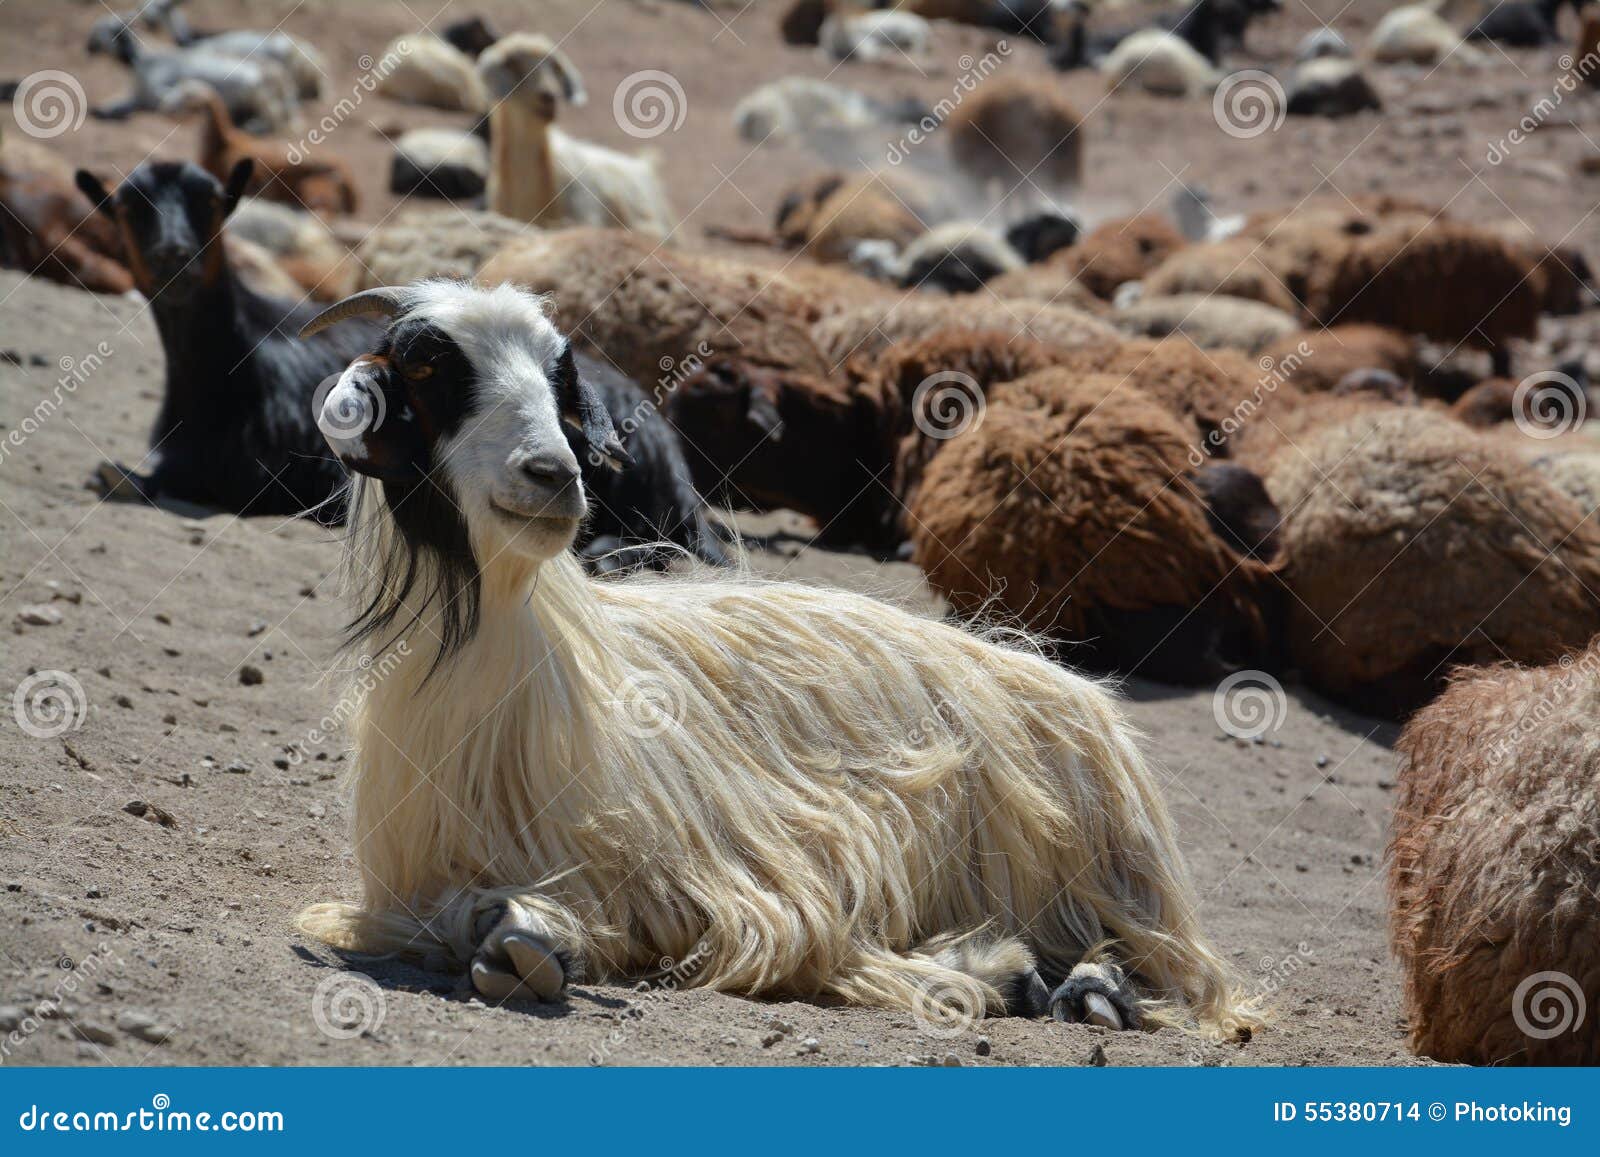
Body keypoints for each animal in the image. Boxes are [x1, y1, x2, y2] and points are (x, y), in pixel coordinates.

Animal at [294, 279, 1262, 1041]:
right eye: (427, 365)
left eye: (557, 376)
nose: (553, 475)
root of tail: (1072, 688)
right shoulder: (405, 887)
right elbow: (459, 915)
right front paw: (510, 936)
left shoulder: (726, 888)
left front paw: (531, 939)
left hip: (1106, 882)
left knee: (1151, 966)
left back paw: (1079, 987)